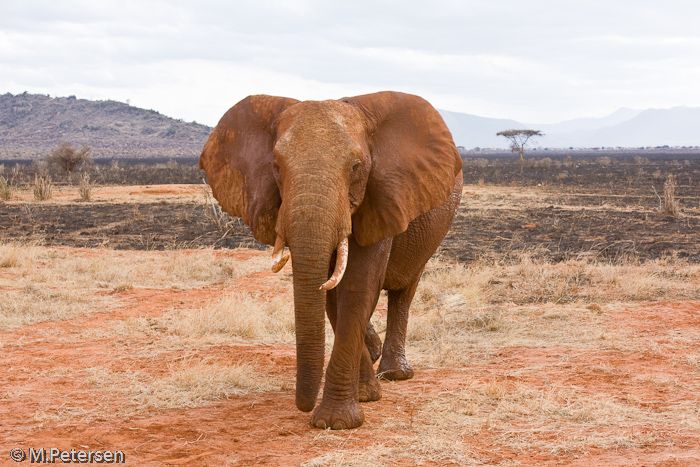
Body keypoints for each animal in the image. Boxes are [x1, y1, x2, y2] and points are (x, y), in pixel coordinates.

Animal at [201, 89, 464, 430]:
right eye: (276, 166)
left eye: (355, 167)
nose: (302, 405)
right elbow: (330, 293)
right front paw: (364, 394)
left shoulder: (381, 195)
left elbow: (356, 286)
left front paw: (337, 421)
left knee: (404, 291)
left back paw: (395, 373)